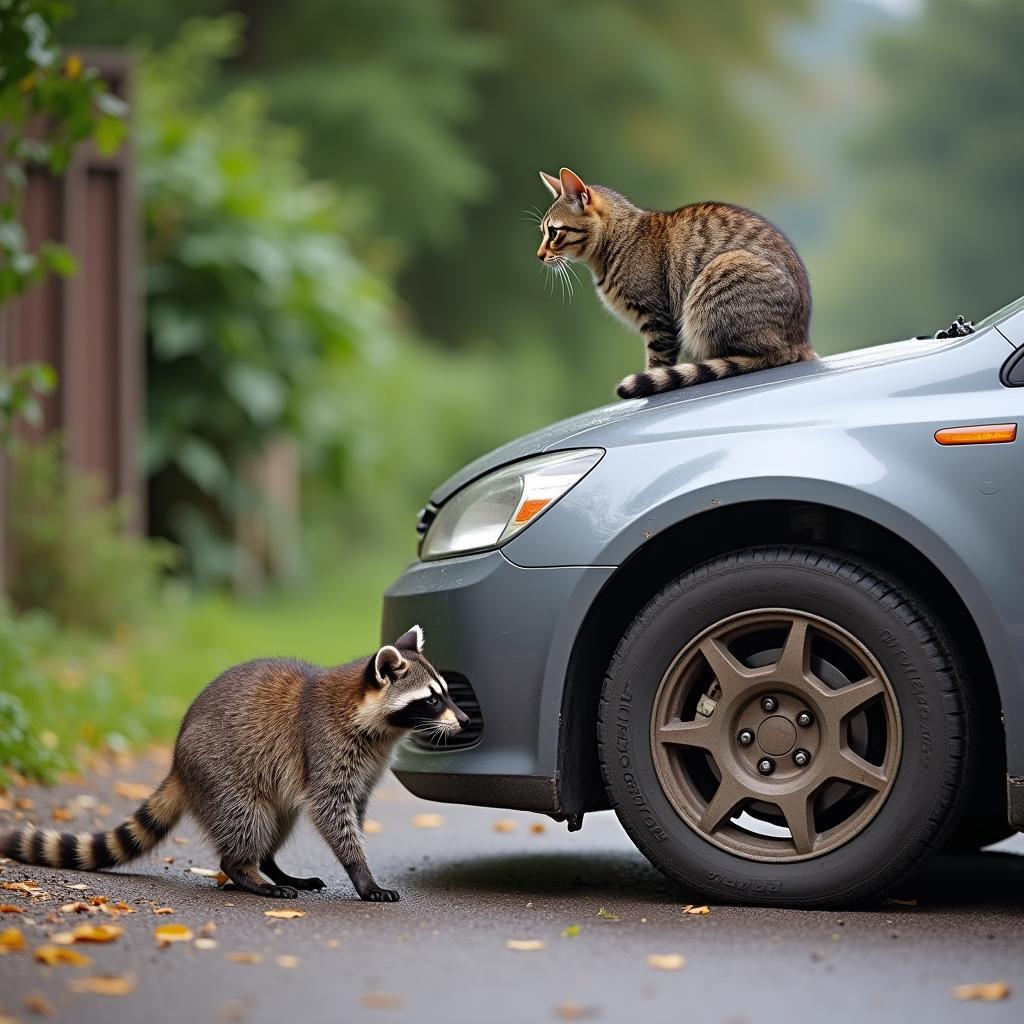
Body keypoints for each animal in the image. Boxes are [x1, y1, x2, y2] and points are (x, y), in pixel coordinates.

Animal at [1, 622, 468, 905]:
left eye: (446, 692)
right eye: (432, 699)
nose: (463, 719)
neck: (377, 721)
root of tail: (176, 759)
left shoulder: (365, 768)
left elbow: (351, 810)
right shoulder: (325, 750)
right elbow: (331, 813)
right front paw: (361, 874)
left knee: (277, 820)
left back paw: (273, 868)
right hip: (221, 773)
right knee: (246, 820)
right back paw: (248, 872)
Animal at [536, 167, 815, 395]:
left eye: (554, 232)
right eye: (543, 231)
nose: (539, 255)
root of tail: (799, 340)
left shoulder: (658, 319)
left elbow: (656, 361)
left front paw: (651, 380)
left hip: (718, 277)